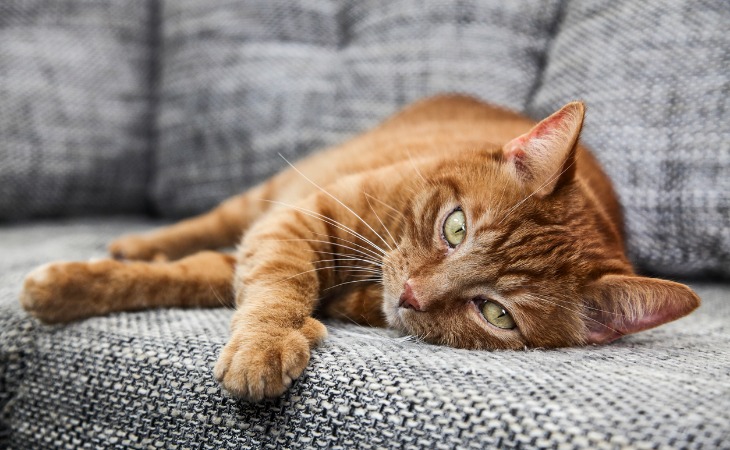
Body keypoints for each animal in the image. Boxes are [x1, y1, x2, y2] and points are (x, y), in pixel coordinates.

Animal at [19, 94, 696, 400]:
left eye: (496, 313)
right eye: (455, 229)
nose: (414, 295)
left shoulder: (252, 251)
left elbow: (192, 278)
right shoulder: (294, 219)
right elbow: (278, 284)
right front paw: (266, 343)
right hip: (262, 195)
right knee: (204, 223)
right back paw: (136, 240)